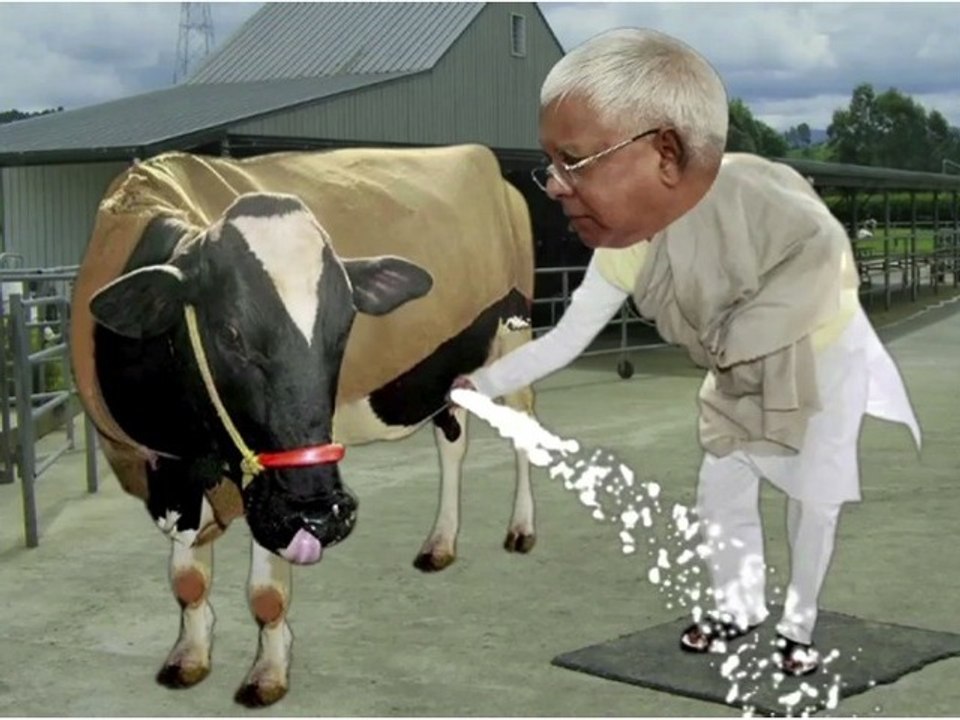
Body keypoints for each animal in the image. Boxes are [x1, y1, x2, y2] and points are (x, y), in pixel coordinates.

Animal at [70, 144, 538, 707]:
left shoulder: (263, 491)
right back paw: (440, 543)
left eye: (345, 326)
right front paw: (189, 656)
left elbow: (266, 592)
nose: (321, 510)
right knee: (453, 440)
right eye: (230, 332)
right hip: (448, 371)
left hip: (515, 333)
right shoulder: (167, 472)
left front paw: (268, 672)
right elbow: (187, 581)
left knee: (524, 432)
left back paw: (521, 529)